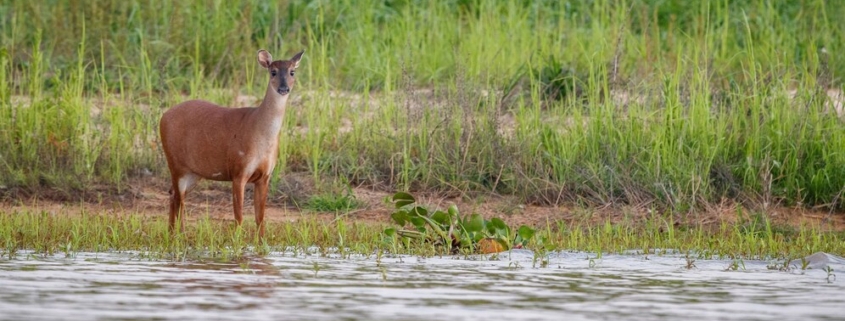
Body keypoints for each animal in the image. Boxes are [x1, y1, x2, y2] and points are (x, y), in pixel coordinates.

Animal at [158, 48, 304, 236]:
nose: (284, 88)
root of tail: (163, 117)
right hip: (176, 163)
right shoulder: (238, 171)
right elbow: (239, 216)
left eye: (292, 72)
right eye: (273, 71)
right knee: (178, 197)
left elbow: (260, 218)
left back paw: (175, 233)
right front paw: (237, 241)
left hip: (194, 172)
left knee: (174, 194)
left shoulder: (265, 176)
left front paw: (262, 242)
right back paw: (177, 234)